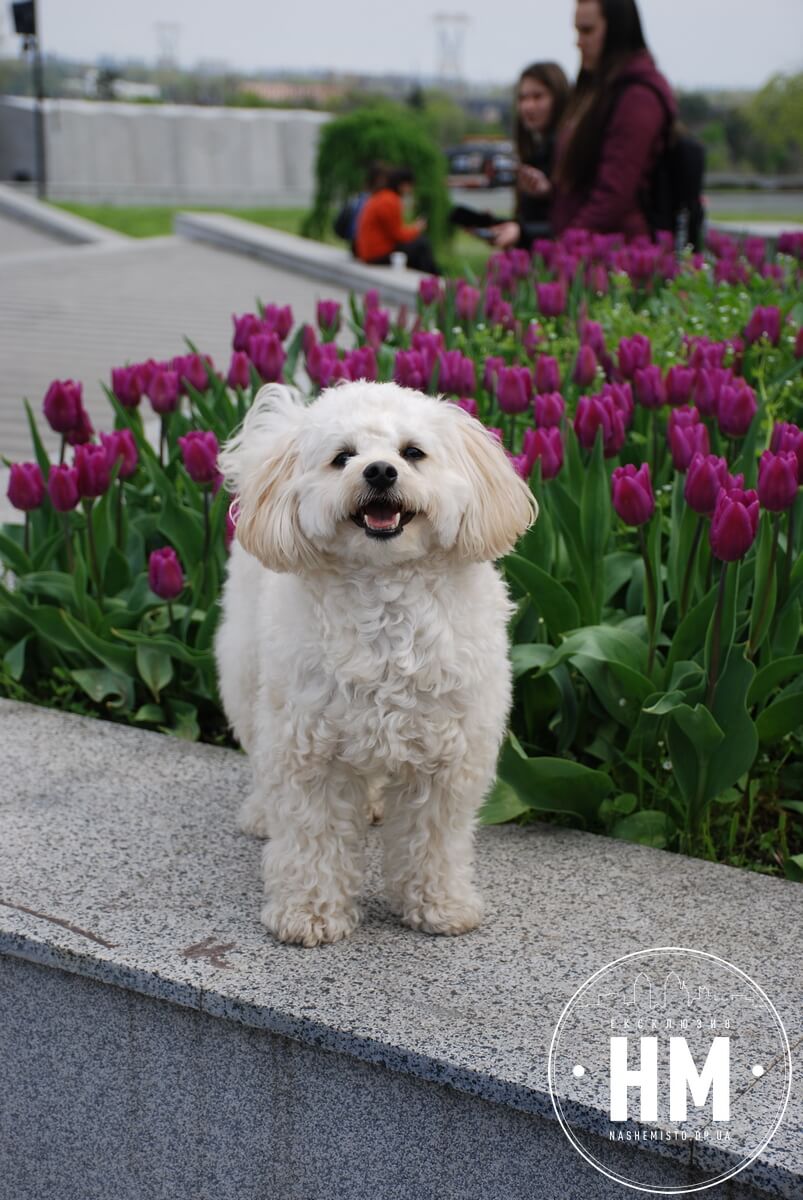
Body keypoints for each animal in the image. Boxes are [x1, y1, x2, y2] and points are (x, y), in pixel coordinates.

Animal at [216, 381, 535, 945]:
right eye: (343, 457)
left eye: (412, 452)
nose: (380, 471)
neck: (386, 594)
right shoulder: (307, 750)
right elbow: (312, 835)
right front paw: (310, 912)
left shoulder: (449, 754)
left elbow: (433, 839)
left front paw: (439, 905)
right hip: (246, 673)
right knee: (258, 753)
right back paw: (261, 812)